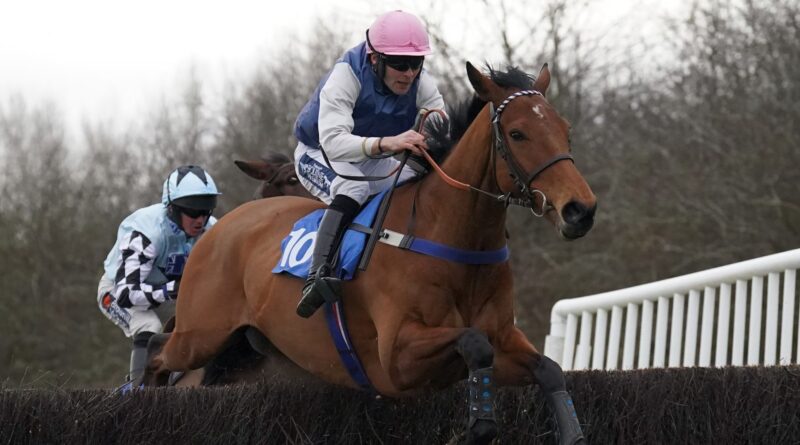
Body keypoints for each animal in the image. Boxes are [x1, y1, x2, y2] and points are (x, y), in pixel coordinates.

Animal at [147, 63, 596, 444]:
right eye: (518, 133)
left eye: (566, 129)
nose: (581, 210)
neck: (449, 235)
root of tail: (221, 226)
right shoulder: (396, 359)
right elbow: (474, 344)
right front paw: (478, 427)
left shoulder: (503, 339)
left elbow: (548, 369)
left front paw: (569, 432)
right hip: (201, 334)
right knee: (154, 351)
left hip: (242, 352)